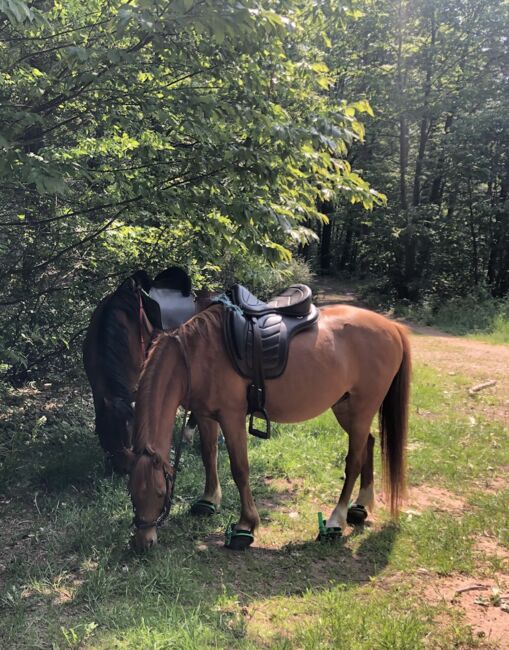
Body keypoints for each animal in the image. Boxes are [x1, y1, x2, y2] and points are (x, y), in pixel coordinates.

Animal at [125, 302, 410, 548]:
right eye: (131, 493)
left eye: (160, 493)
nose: (142, 542)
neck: (195, 355)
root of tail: (392, 327)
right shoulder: (205, 415)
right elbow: (209, 456)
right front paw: (209, 501)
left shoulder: (232, 417)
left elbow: (239, 469)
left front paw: (245, 526)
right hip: (345, 408)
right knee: (368, 443)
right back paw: (361, 506)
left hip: (362, 408)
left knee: (353, 461)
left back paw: (335, 521)